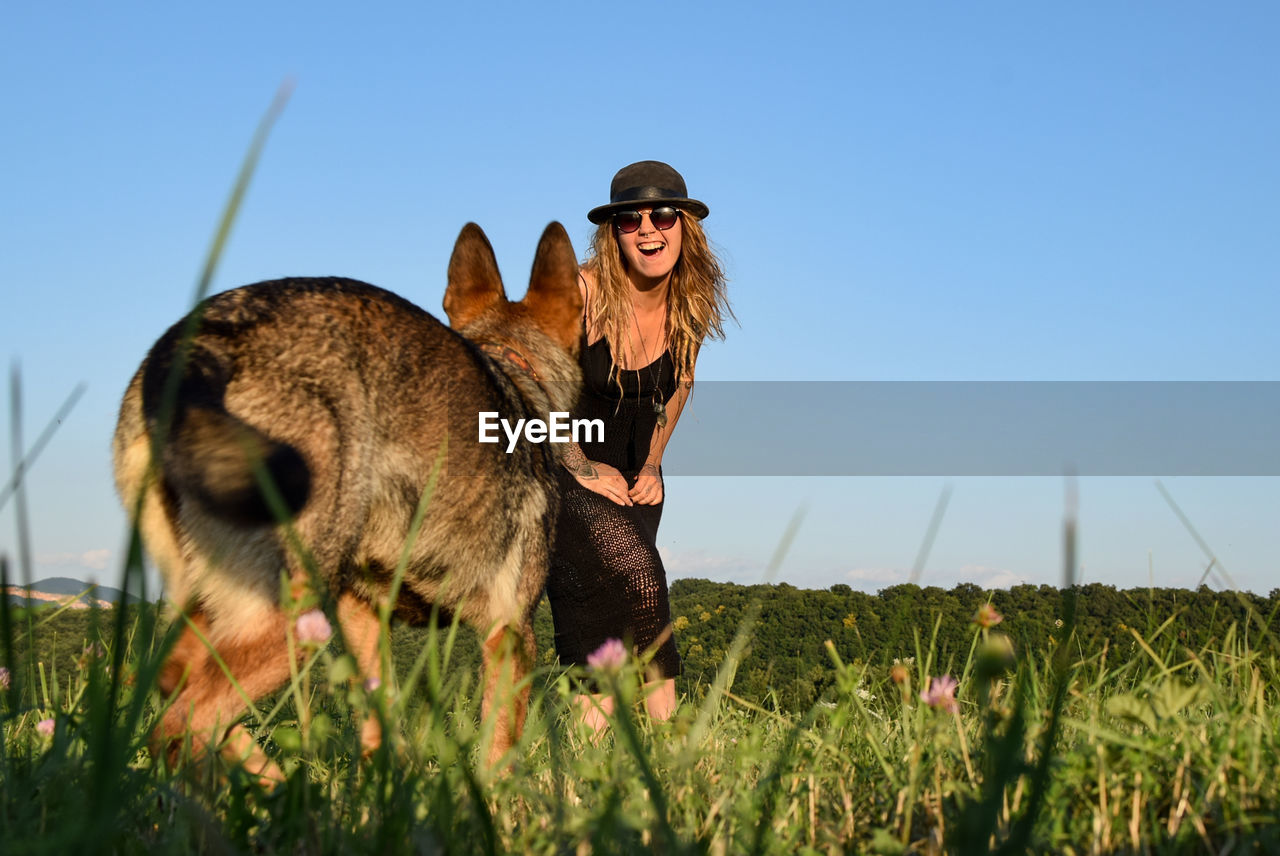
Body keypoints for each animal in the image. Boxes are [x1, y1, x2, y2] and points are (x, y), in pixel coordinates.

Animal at [112, 223, 583, 772]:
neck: (514, 369)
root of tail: (195, 343)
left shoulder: (366, 617)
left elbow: (381, 728)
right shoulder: (512, 633)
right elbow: (499, 756)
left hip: (215, 604)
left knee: (171, 685)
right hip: (295, 614)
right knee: (179, 724)